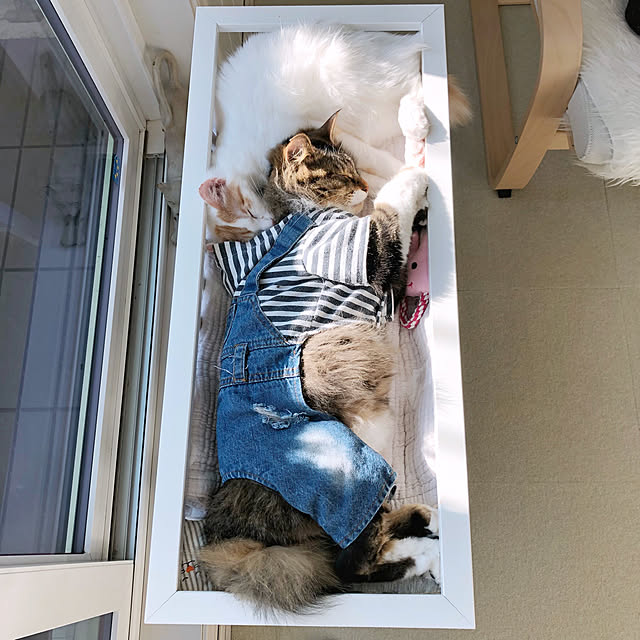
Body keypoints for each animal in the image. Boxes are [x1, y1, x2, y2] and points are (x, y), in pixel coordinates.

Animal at [199, 121, 439, 614]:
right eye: (343, 175)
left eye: (356, 169)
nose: (363, 185)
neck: (296, 213)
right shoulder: (369, 247)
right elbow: (393, 206)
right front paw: (417, 174)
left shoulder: (387, 280)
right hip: (350, 472)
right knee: (353, 561)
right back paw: (428, 548)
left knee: (350, 551)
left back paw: (422, 520)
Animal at [200, 24, 470, 241]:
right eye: (248, 234)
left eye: (249, 212)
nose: (269, 223)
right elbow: (369, 179)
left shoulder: (314, 127)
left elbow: (377, 160)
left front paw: (410, 171)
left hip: (362, 86)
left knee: (416, 81)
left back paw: (415, 128)